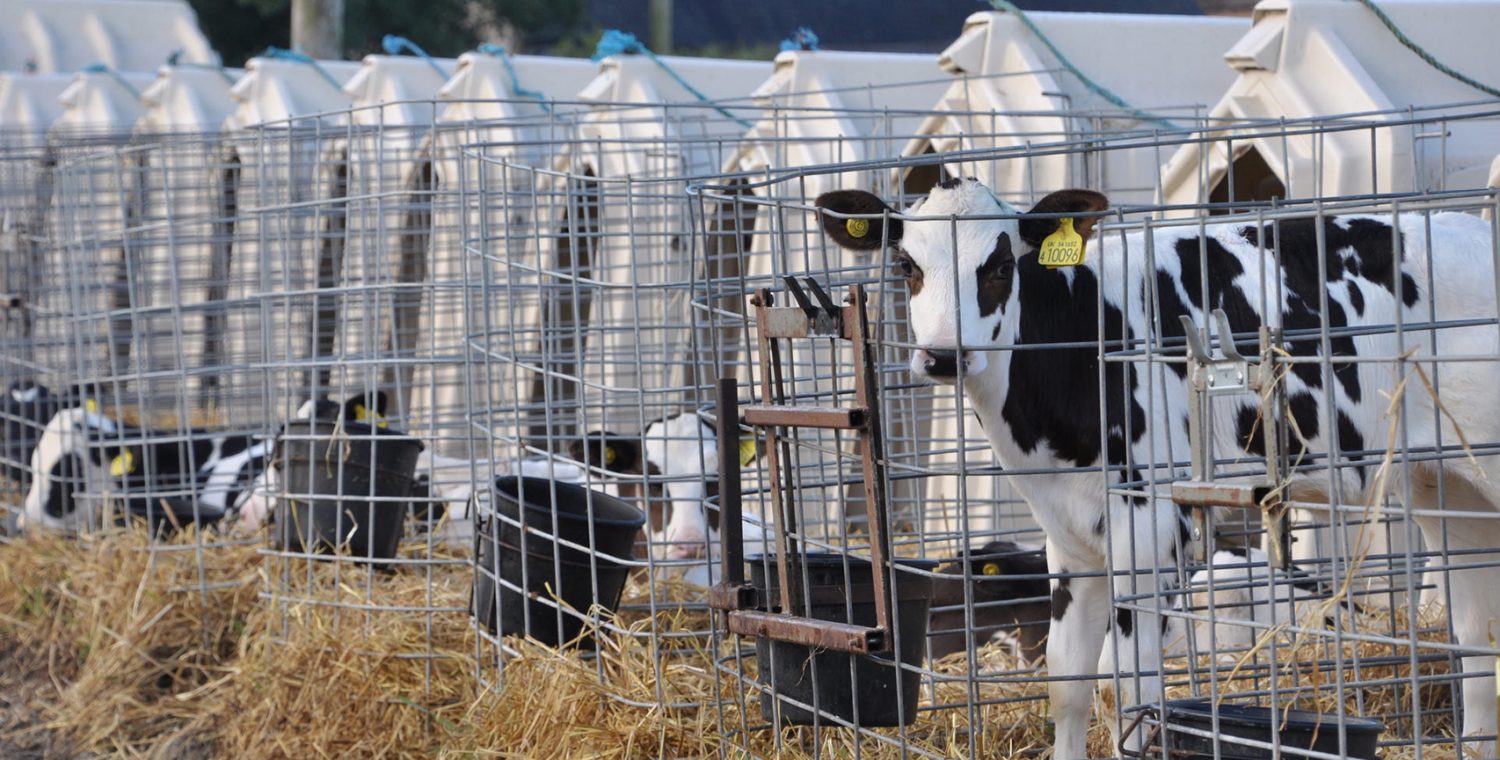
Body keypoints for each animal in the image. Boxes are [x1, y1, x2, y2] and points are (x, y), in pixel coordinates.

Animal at [822, 181, 1500, 758]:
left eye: (999, 265)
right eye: (906, 265)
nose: (942, 355)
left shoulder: (1149, 526)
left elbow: (1126, 691)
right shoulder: (1069, 536)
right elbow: (1068, 681)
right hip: (1447, 486)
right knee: (1476, 632)